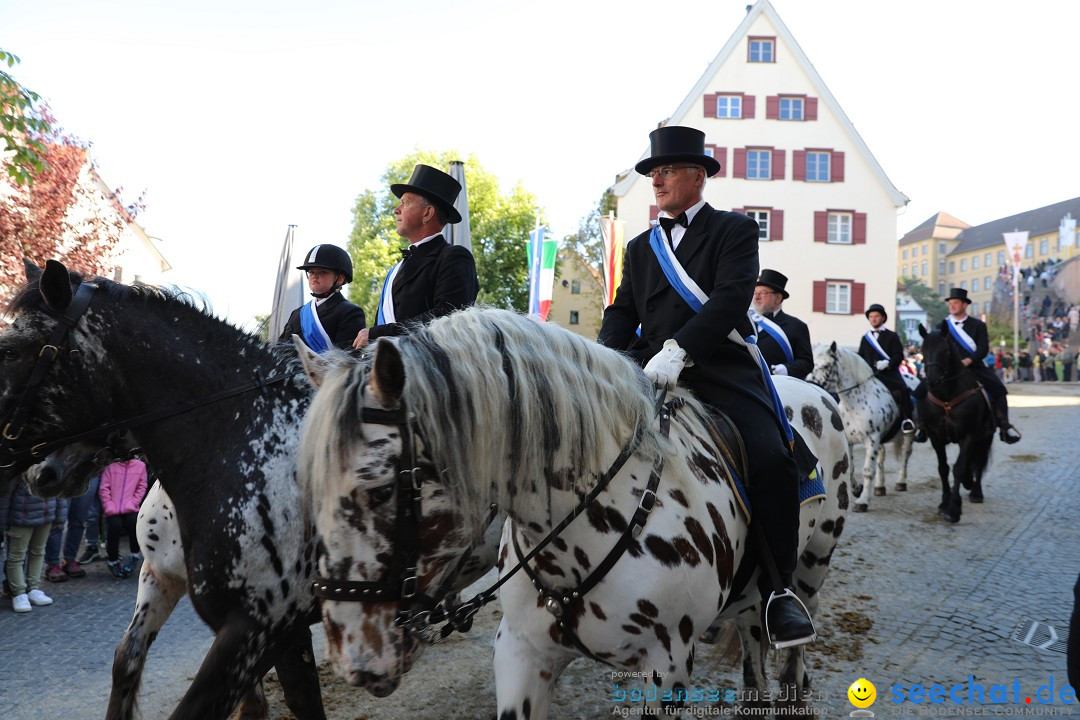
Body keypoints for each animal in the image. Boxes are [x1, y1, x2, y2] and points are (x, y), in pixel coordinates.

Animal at [298, 306, 851, 716]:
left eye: (379, 491)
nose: (355, 660)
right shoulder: (521, 654)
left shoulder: (666, 668)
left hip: (809, 570)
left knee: (792, 658)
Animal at [807, 343, 915, 511]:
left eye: (826, 365)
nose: (809, 384)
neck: (856, 402)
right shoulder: (850, 440)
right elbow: (850, 468)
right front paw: (857, 489)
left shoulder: (872, 439)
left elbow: (868, 471)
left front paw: (862, 501)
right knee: (881, 458)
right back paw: (879, 487)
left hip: (908, 434)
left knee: (905, 455)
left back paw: (901, 482)